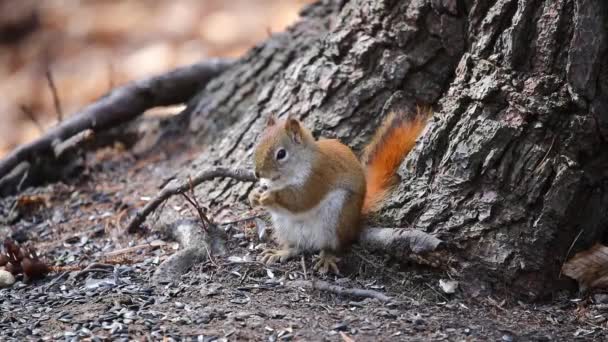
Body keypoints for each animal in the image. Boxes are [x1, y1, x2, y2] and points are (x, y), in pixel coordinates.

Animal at [247, 108, 428, 274]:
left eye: (281, 154)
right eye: (257, 145)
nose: (257, 173)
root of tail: (355, 222)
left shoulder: (318, 177)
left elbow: (301, 199)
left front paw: (271, 196)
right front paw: (254, 195)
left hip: (336, 220)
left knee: (332, 246)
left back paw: (326, 258)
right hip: (285, 226)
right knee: (297, 247)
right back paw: (281, 252)